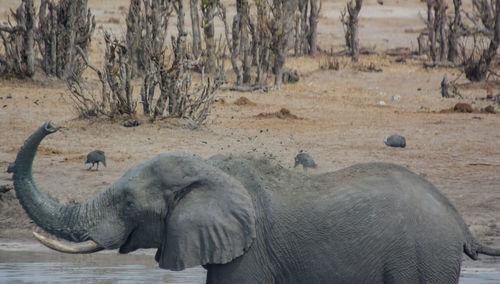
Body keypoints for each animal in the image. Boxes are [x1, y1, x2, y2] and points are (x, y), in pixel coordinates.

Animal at [10, 121, 500, 282]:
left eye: (128, 203)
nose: (52, 125)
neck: (211, 169)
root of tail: (460, 221)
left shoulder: (252, 252)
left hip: (421, 258)